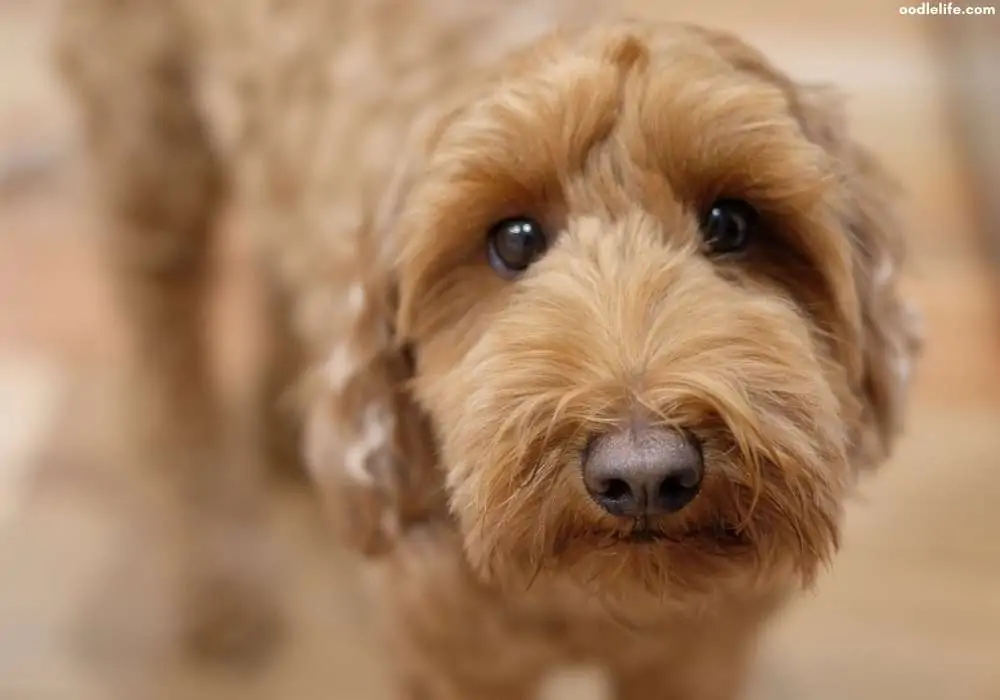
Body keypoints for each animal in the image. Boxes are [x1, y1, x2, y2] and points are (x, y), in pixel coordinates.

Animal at [56, 0, 920, 696]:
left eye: (732, 223)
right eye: (514, 240)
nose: (644, 473)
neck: (589, 601)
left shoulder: (699, 652)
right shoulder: (452, 659)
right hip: (148, 148)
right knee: (168, 383)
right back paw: (220, 591)